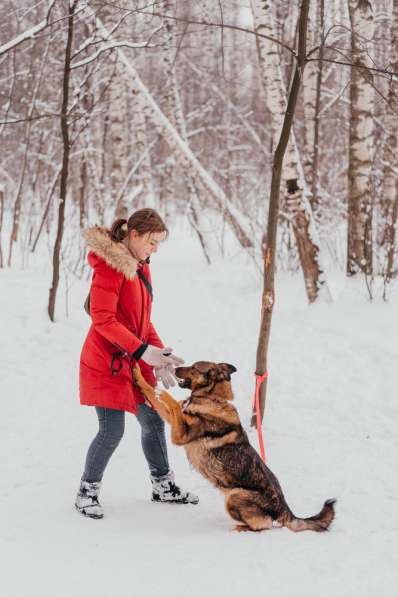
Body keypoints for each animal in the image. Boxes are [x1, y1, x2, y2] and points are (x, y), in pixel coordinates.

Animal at [134, 358, 336, 532]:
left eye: (194, 367)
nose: (175, 368)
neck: (212, 398)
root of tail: (286, 510)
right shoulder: (174, 422)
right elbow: (158, 399)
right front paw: (139, 376)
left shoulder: (180, 435)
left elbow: (173, 403)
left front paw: (158, 388)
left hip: (234, 496)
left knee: (263, 525)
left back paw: (240, 528)